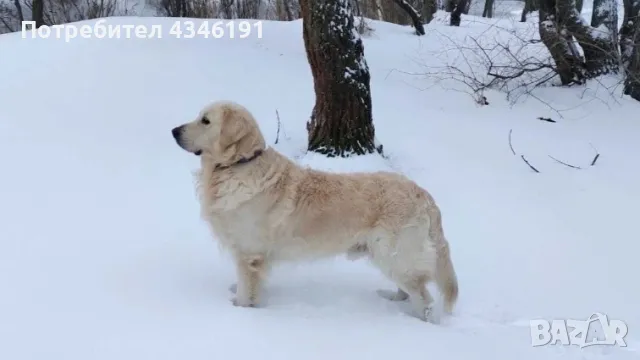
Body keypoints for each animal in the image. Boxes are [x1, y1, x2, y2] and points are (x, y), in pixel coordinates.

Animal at [172, 100, 458, 322]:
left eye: (206, 121)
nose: (174, 130)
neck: (239, 165)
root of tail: (424, 196)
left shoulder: (250, 254)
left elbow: (247, 291)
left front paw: (240, 310)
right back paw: (392, 299)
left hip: (393, 254)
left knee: (425, 298)